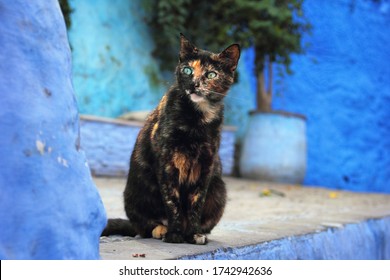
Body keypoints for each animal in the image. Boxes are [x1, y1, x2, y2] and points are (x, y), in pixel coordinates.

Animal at [102, 33, 239, 245]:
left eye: (211, 74)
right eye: (187, 70)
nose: (194, 84)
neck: (197, 120)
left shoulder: (206, 164)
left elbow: (196, 202)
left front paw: (195, 234)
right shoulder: (167, 162)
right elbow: (171, 200)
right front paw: (174, 234)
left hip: (219, 190)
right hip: (135, 192)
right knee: (144, 226)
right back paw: (163, 230)